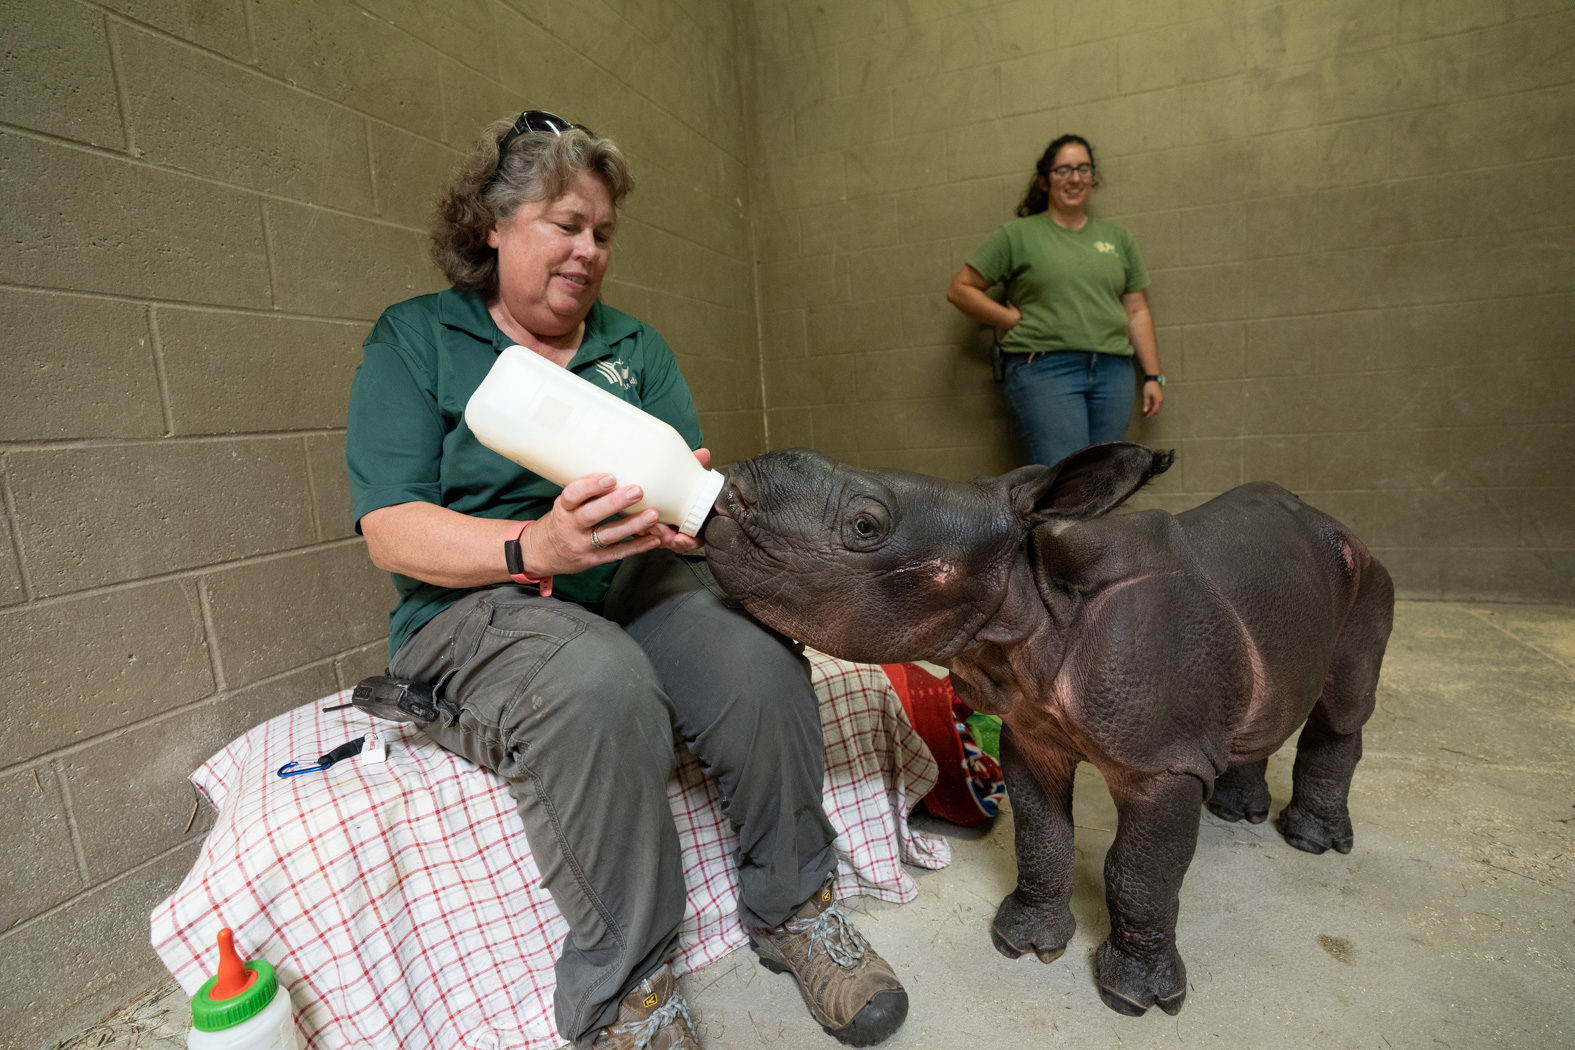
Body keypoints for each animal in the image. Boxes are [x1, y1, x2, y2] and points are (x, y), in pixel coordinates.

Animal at [708, 440, 1398, 1020]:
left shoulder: (1163, 762)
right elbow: (1041, 833)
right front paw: (1024, 945)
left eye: (864, 526)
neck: (1033, 592)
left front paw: (1137, 999)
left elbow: (1139, 869)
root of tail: (1337, 524)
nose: (729, 493)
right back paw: (1237, 812)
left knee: (1343, 706)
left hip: (1366, 575)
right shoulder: (1031, 731)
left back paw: (1312, 844)